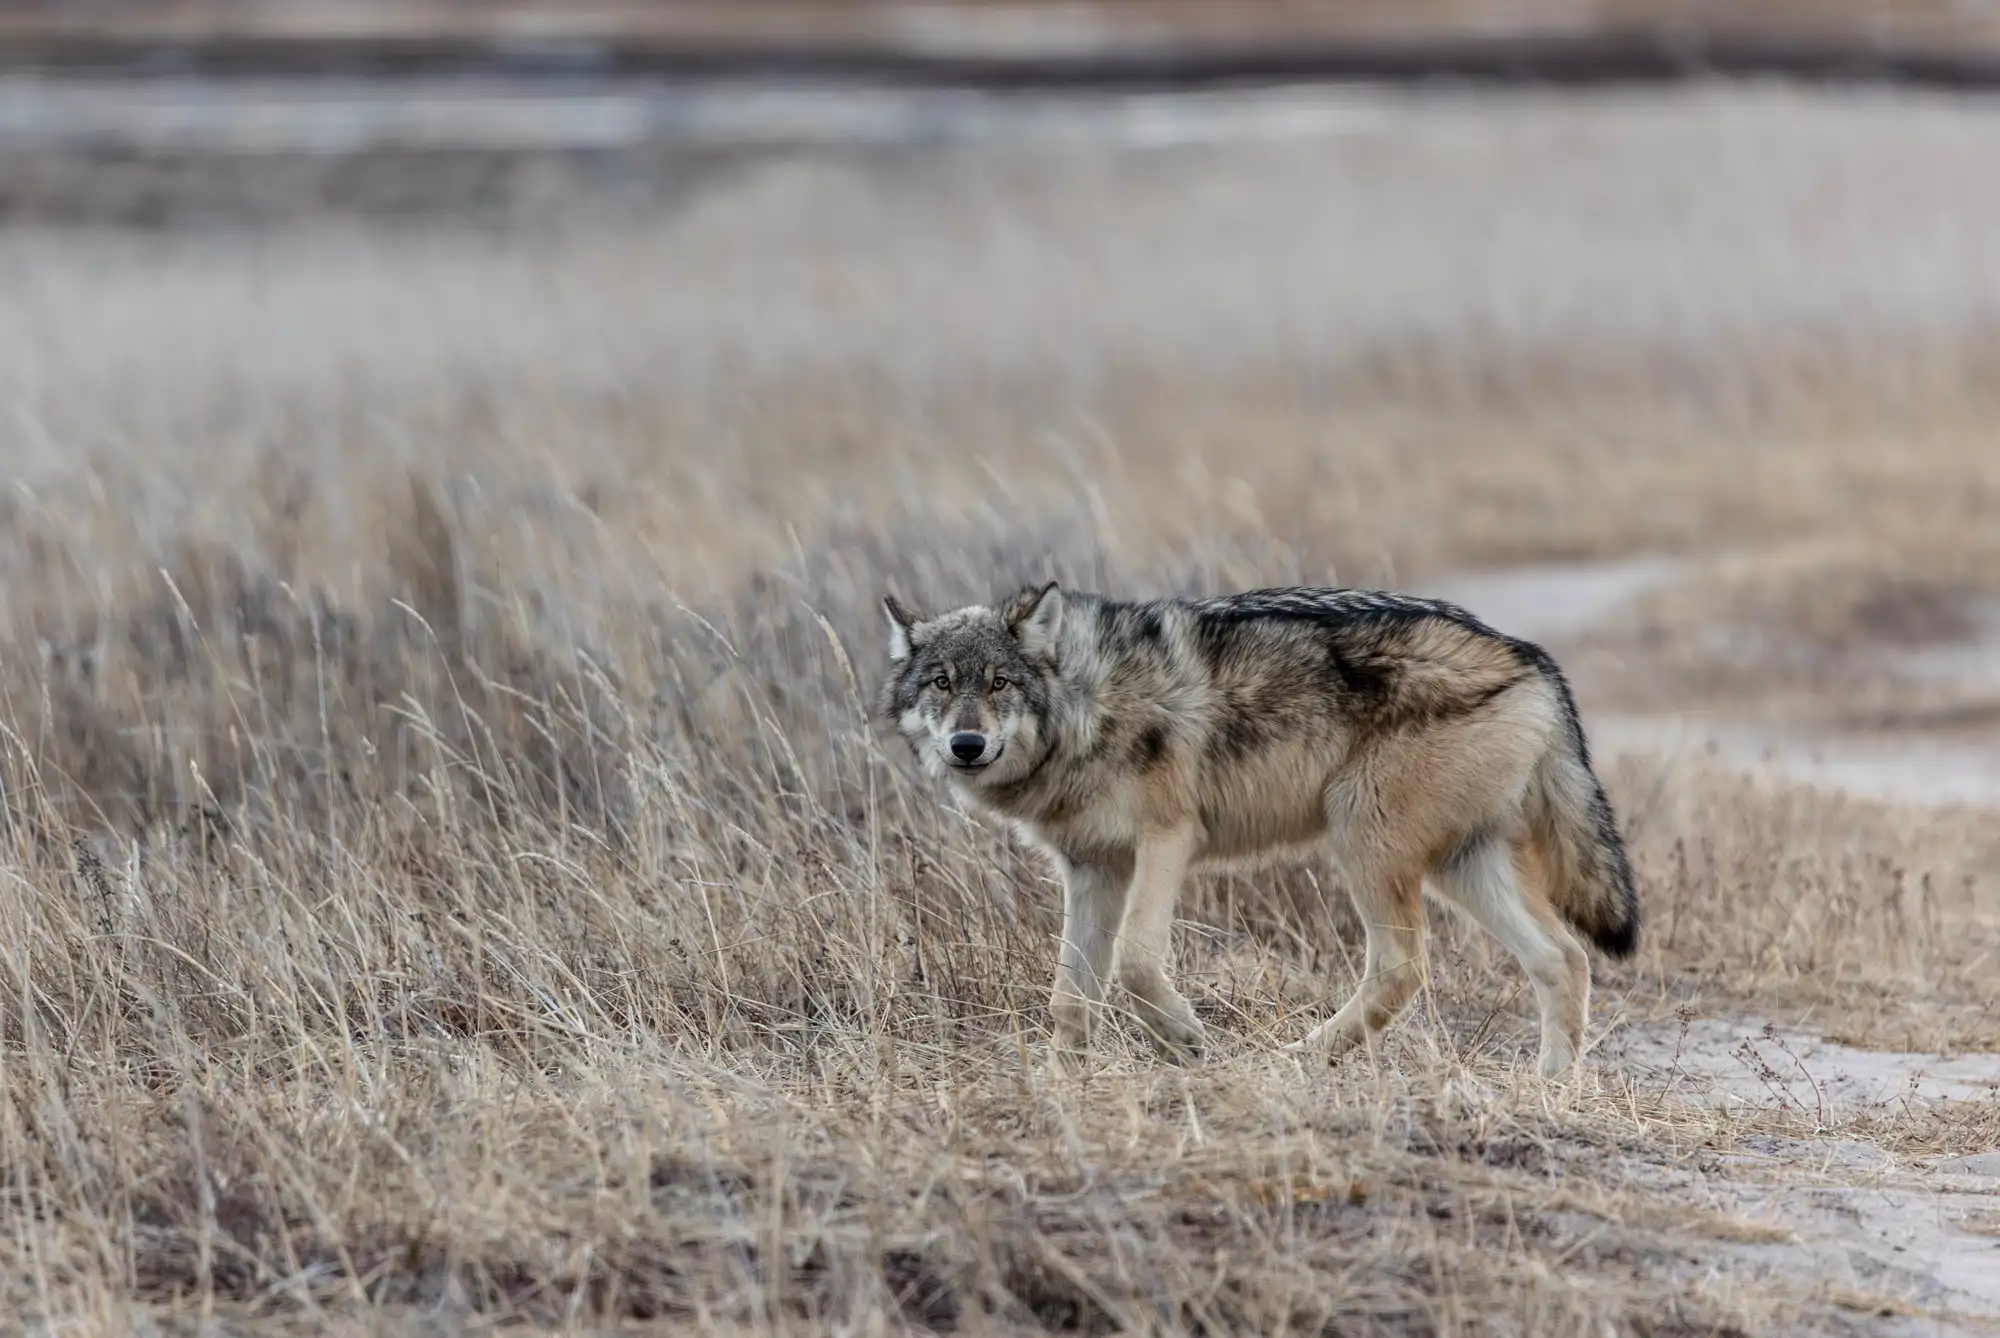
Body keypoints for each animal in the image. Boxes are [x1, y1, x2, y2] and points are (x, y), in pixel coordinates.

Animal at [878, 581, 1638, 1077]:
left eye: (999, 682)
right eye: (941, 683)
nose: (967, 745)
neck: (1086, 701)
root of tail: (1531, 658)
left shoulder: (1167, 840)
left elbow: (1135, 963)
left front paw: (1185, 1041)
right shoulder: (1093, 870)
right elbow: (1071, 996)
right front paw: (1066, 1084)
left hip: (1364, 844)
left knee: (1402, 969)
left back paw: (1299, 1058)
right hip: (1458, 866)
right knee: (1562, 958)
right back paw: (1551, 1087)